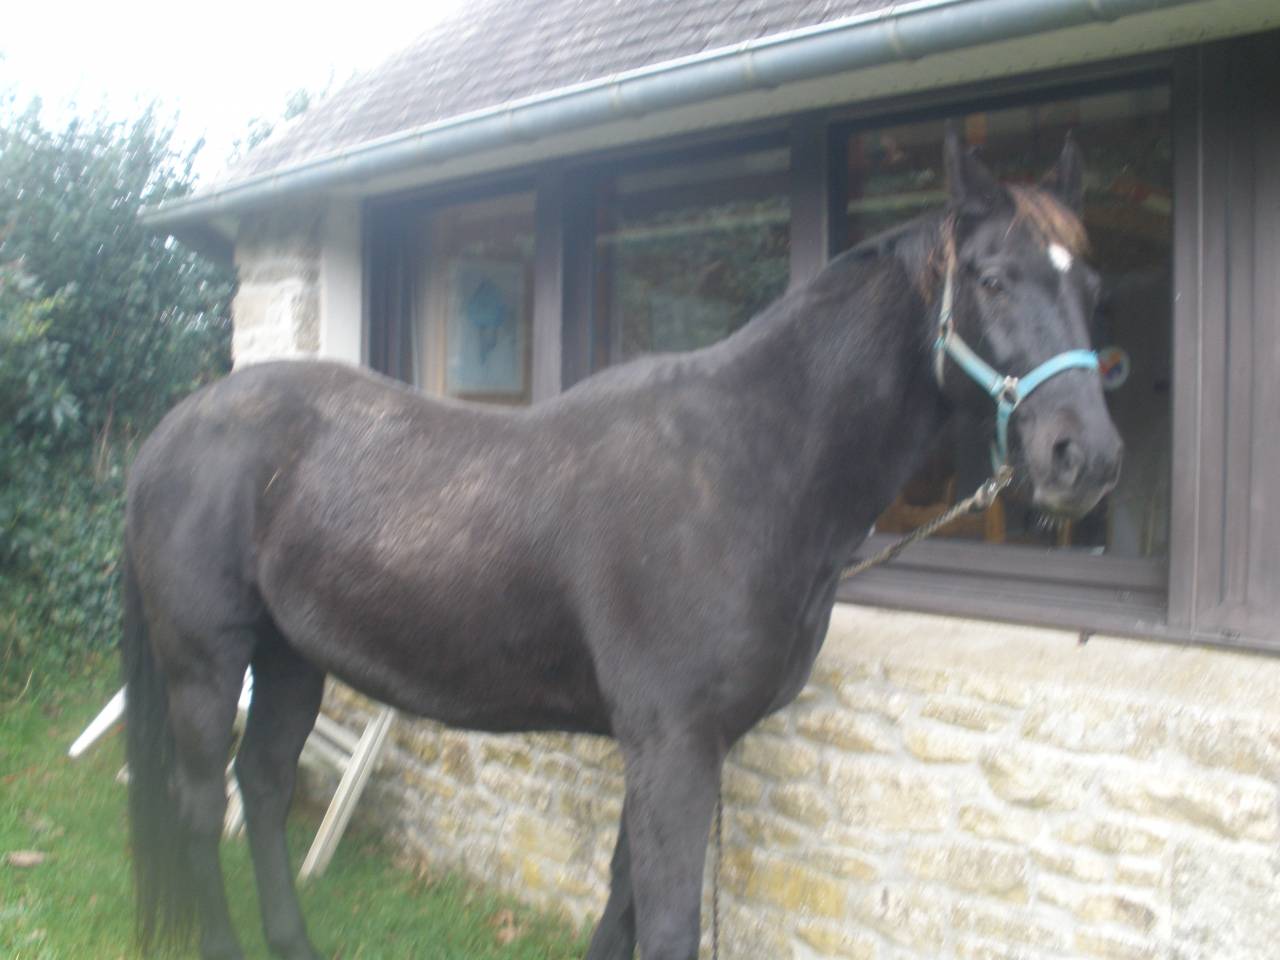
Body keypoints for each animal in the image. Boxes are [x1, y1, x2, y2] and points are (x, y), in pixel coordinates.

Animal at [123, 128, 1121, 960]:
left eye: (1090, 286)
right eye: (992, 278)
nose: (1086, 455)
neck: (747, 463)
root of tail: (171, 433)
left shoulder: (672, 746)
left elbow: (620, 904)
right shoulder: (671, 744)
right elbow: (667, 921)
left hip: (292, 658)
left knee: (261, 788)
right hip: (208, 664)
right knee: (199, 803)